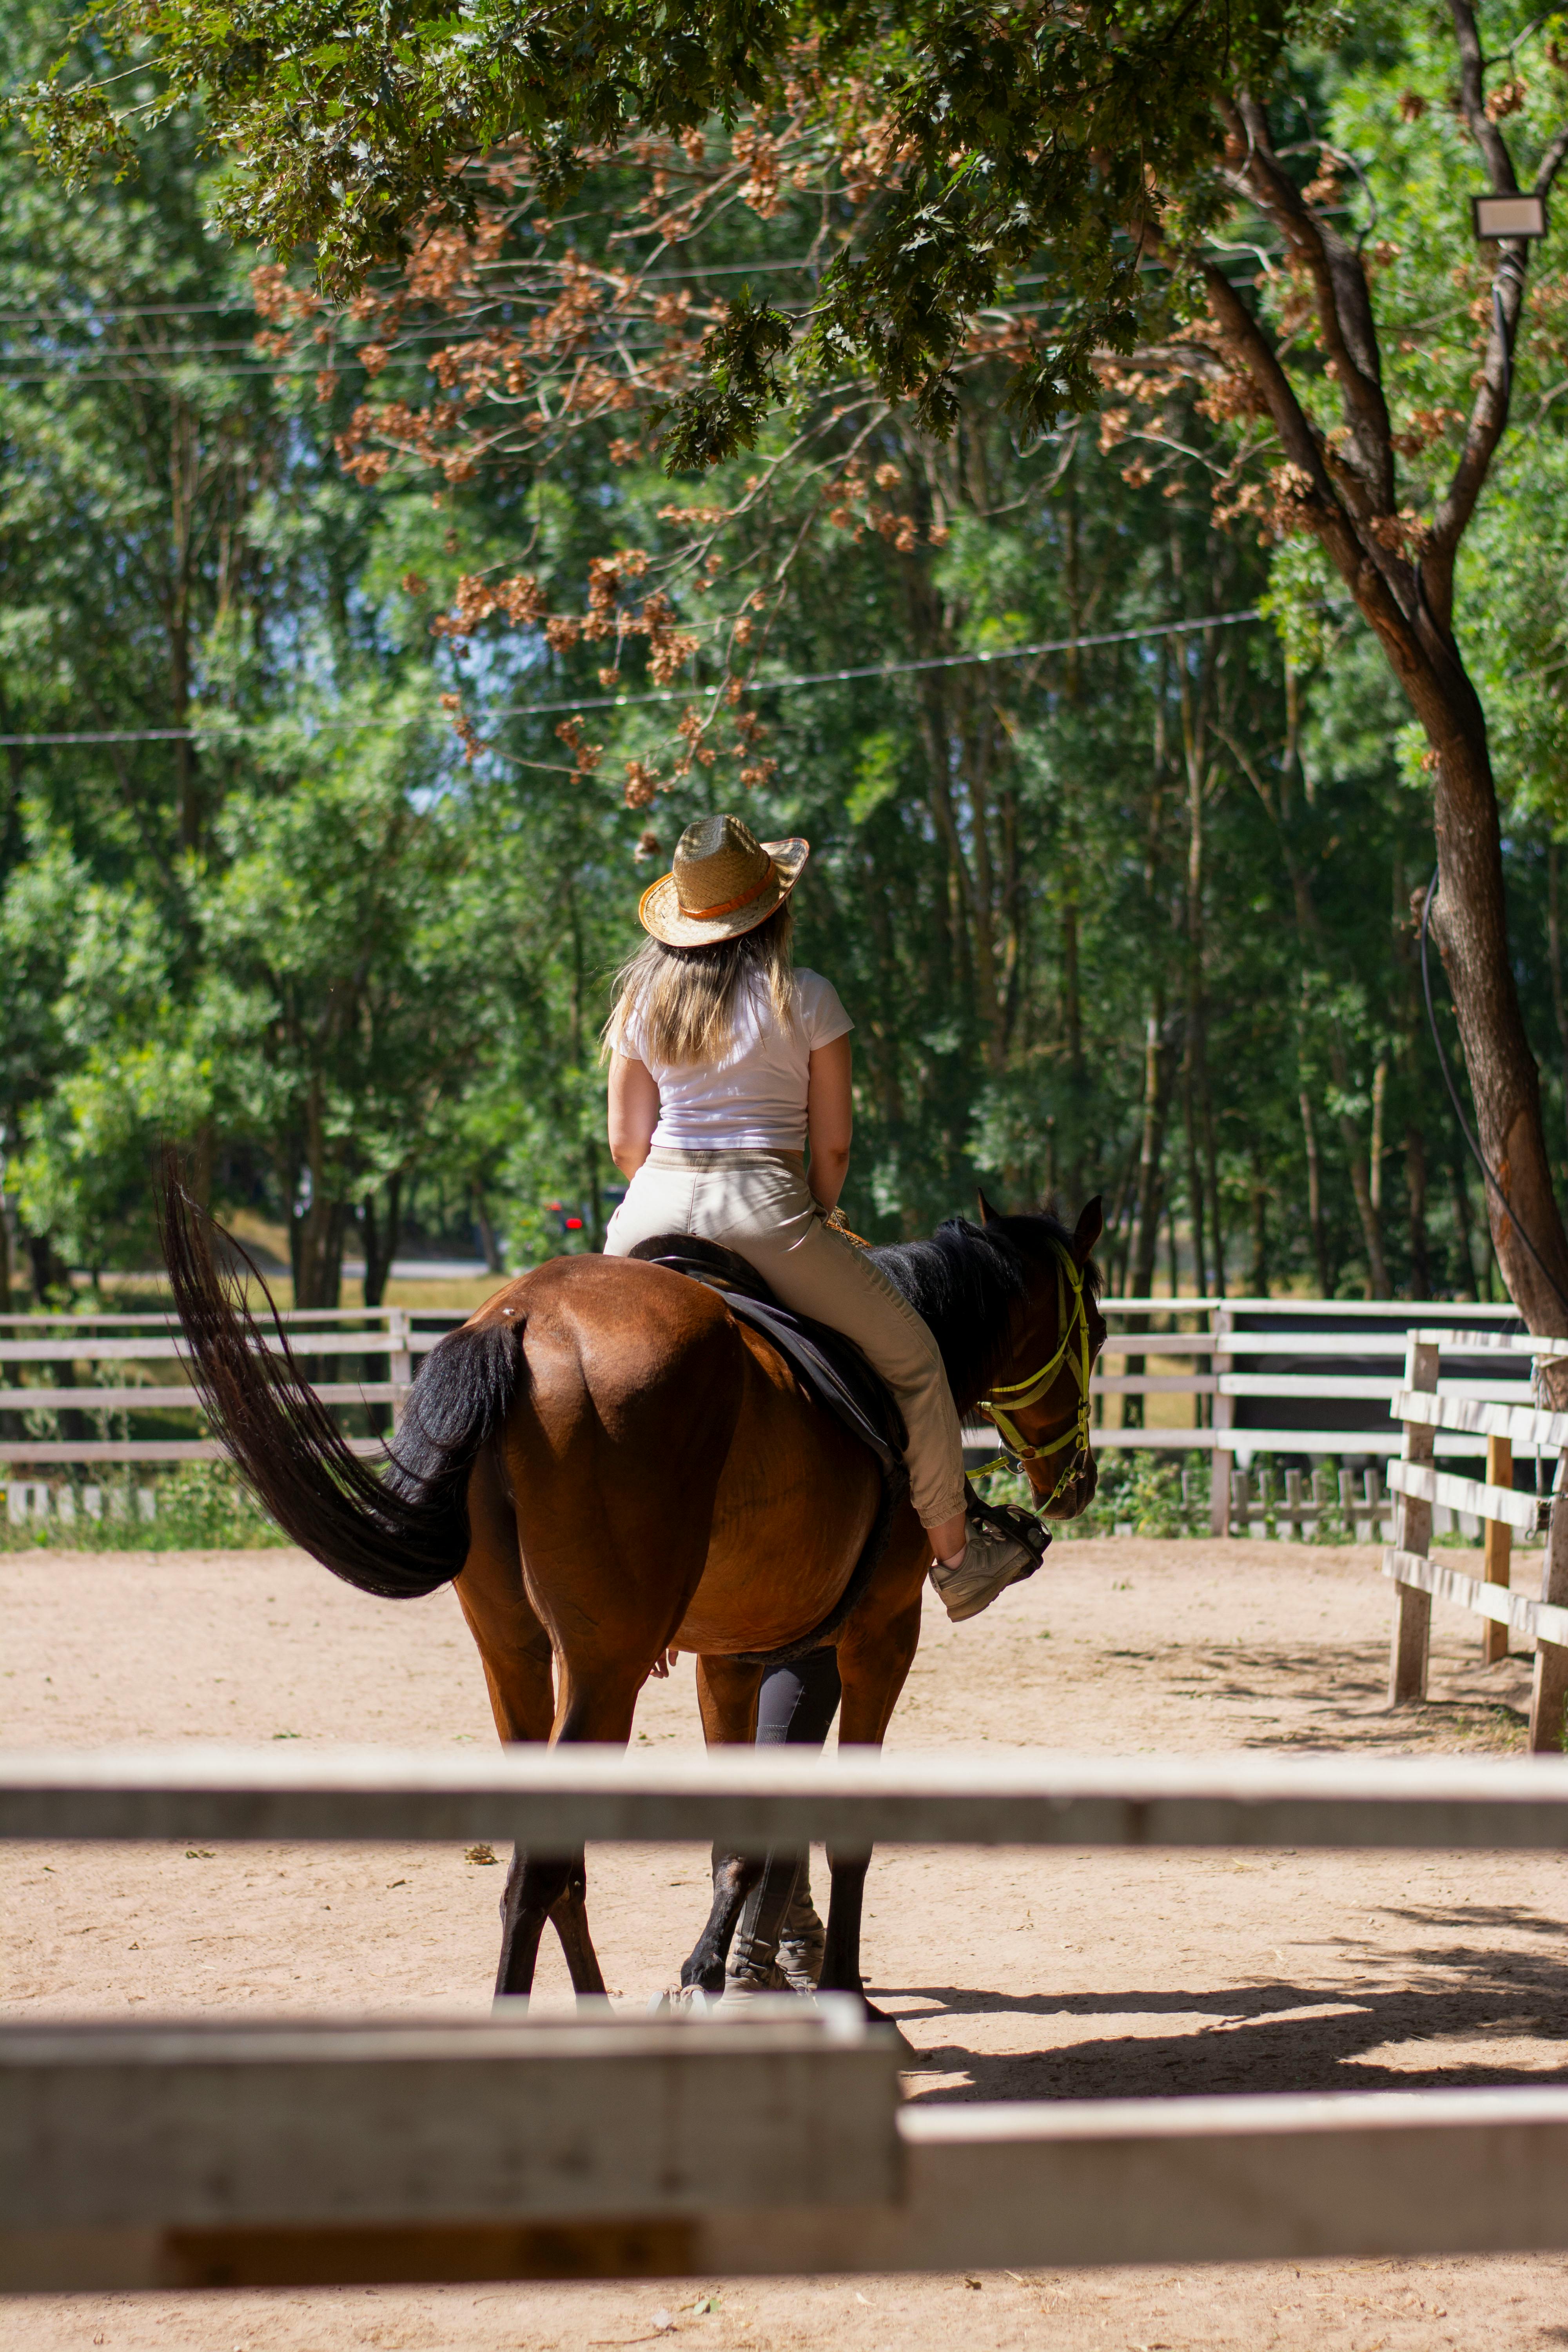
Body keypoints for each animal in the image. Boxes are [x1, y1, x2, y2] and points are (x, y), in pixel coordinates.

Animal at [160, 1167, 1105, 2013]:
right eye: (1094, 1326)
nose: (1078, 1479)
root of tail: (521, 1319)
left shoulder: (731, 1656)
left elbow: (741, 1838)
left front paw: (711, 1974)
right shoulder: (879, 1635)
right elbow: (841, 1834)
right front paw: (833, 1990)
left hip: (515, 1656)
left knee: (558, 1867)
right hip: (606, 1670)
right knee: (541, 1874)